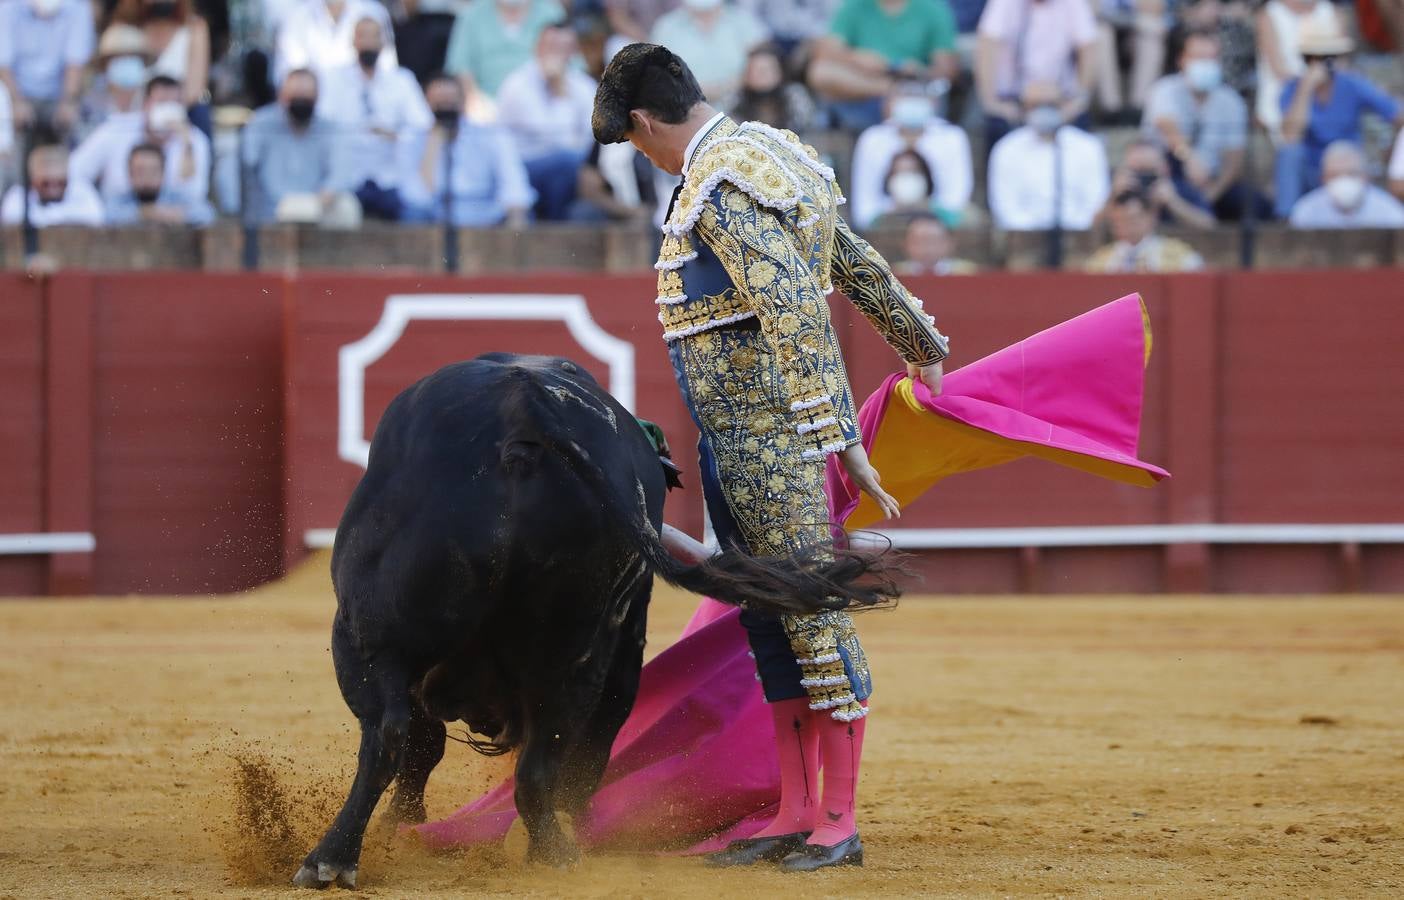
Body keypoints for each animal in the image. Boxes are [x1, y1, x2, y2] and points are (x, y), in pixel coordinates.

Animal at [296, 351, 898, 887]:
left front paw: (401, 827)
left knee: (393, 735)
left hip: (368, 637)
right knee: (537, 759)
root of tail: (529, 410)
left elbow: (427, 743)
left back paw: (331, 859)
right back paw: (555, 853)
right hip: (572, 645)